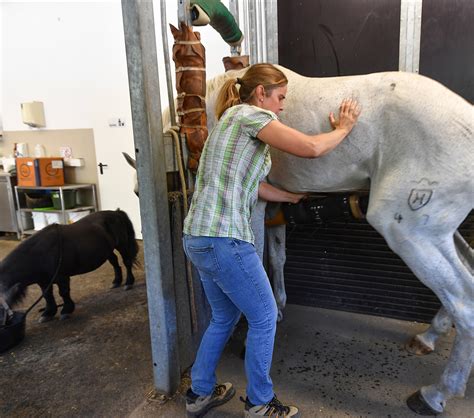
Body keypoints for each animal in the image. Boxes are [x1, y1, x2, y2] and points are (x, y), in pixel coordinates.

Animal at [0, 211, 137, 322]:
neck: (40, 254)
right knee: (115, 262)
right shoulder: (43, 281)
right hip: (108, 250)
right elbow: (47, 295)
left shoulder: (62, 277)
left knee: (127, 262)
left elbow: (63, 293)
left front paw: (66, 310)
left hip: (122, 245)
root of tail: (116, 212)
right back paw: (116, 281)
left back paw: (128, 283)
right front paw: (48, 313)